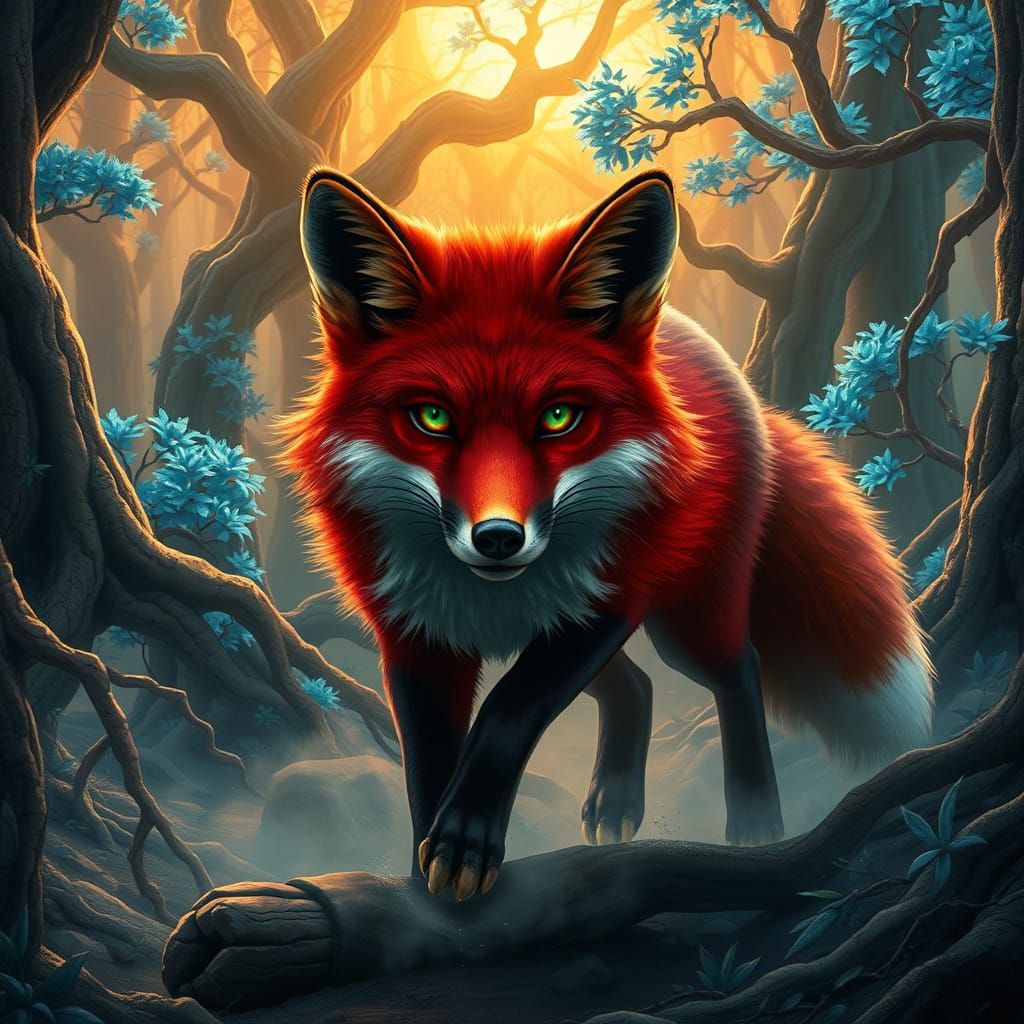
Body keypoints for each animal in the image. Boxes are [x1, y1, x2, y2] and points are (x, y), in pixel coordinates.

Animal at [281, 167, 934, 903]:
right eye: (433, 418)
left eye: (559, 417)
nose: (499, 537)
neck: (484, 594)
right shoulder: (414, 633)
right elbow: (429, 762)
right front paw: (429, 868)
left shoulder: (609, 599)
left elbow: (506, 713)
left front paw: (464, 839)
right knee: (636, 686)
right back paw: (617, 800)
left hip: (685, 619)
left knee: (738, 667)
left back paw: (756, 820)